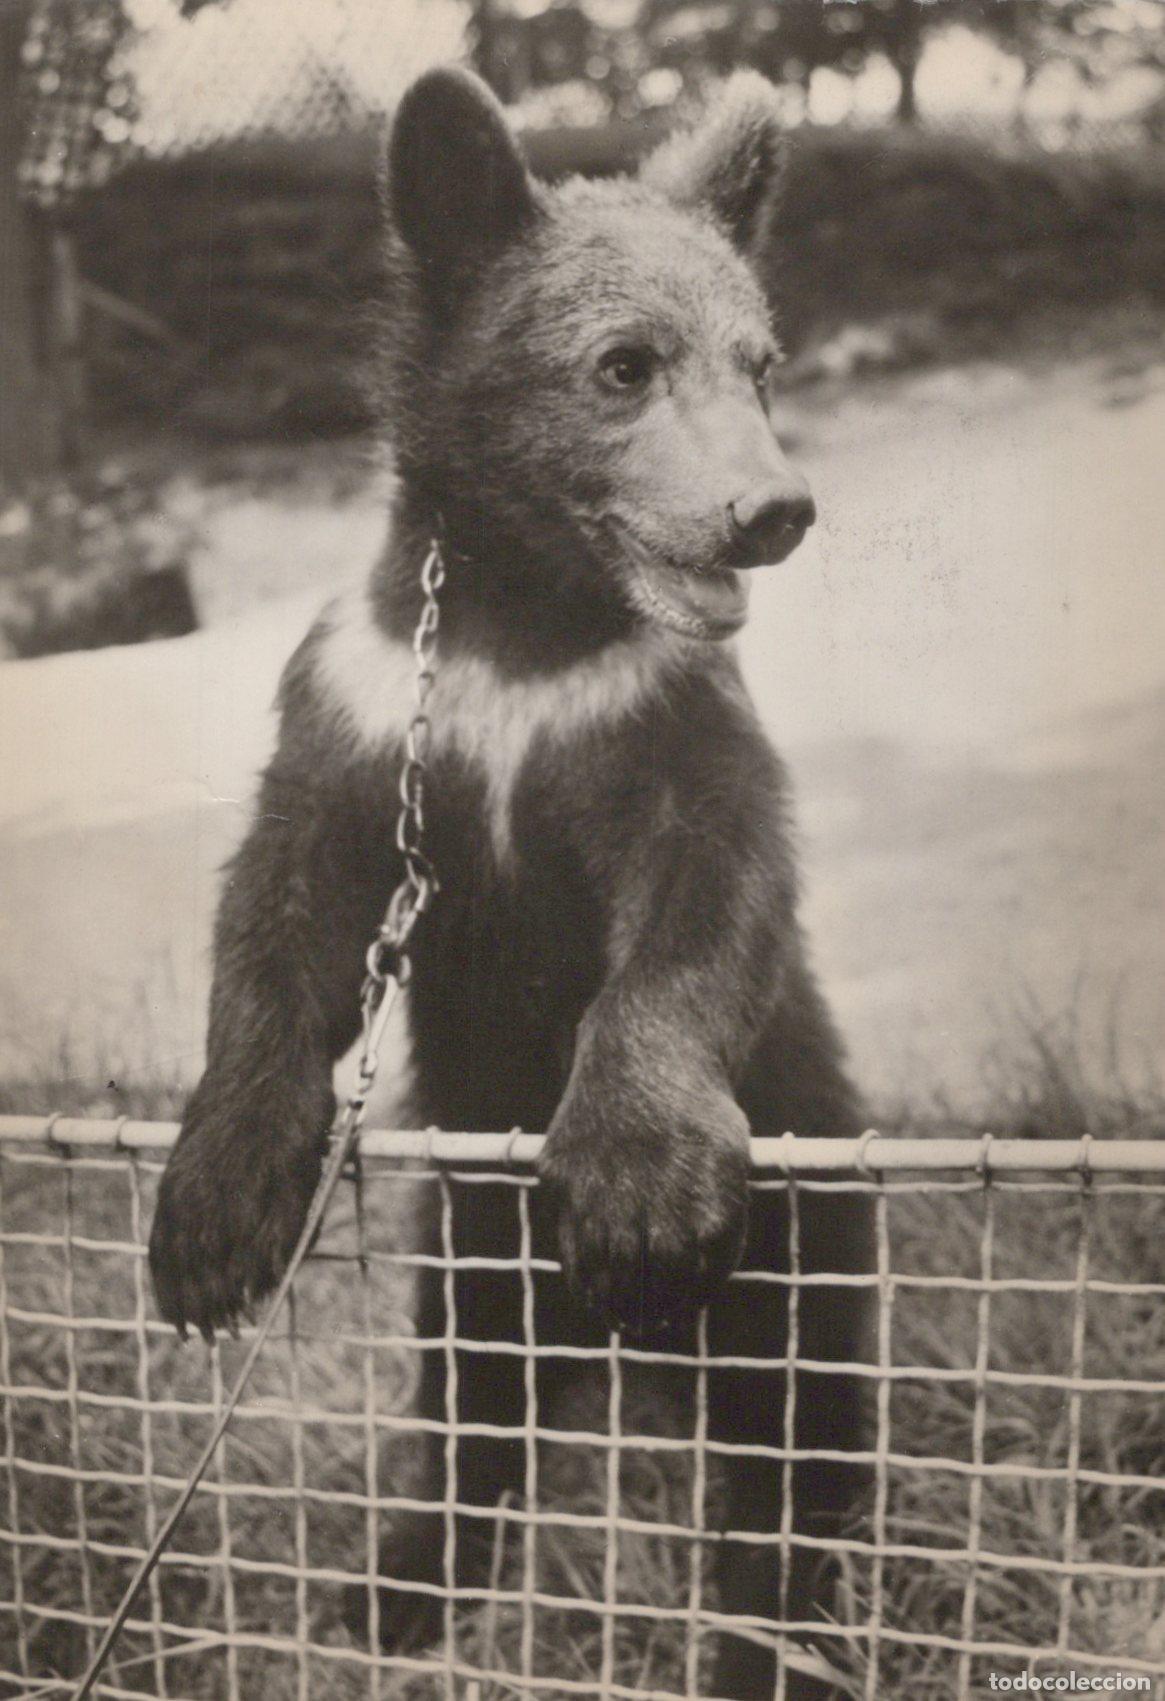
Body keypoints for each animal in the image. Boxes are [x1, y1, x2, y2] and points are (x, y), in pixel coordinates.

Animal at [148, 67, 873, 1699]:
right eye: (623, 365)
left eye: (762, 364)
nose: (771, 511)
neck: (520, 628)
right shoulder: (368, 723)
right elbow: (280, 916)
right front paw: (213, 1218)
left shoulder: (649, 722)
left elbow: (706, 895)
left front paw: (637, 1187)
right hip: (462, 1226)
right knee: (472, 1392)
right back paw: (407, 1580)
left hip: (812, 1191)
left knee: (800, 1413)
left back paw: (781, 1608)